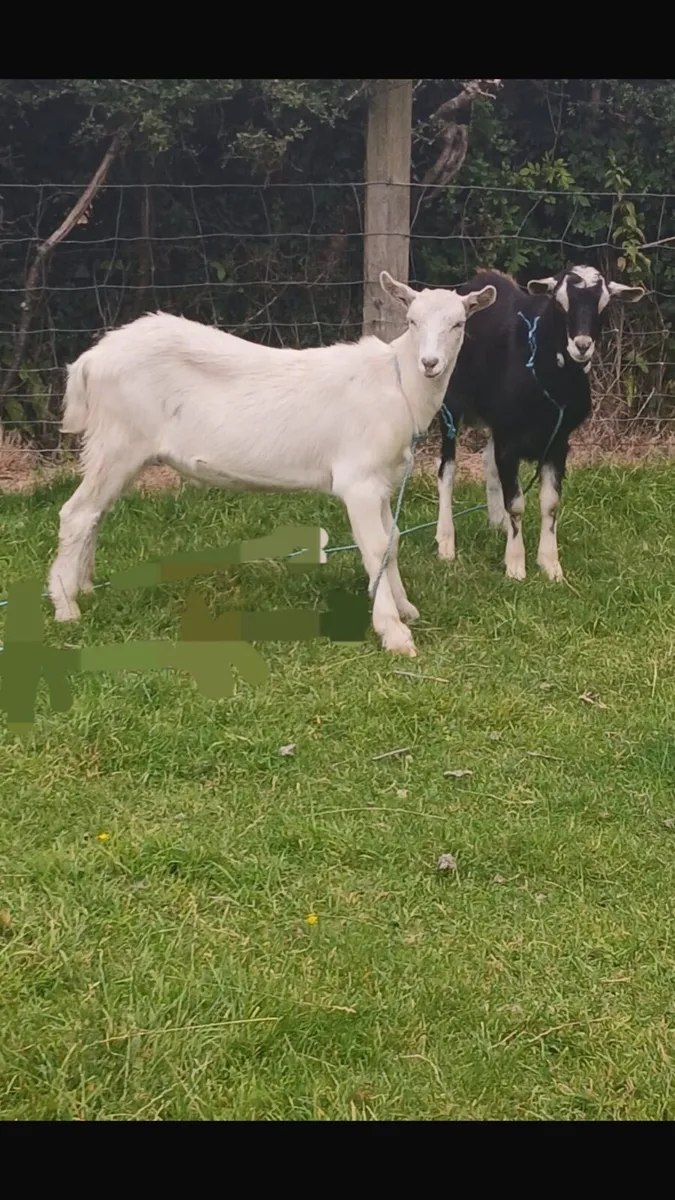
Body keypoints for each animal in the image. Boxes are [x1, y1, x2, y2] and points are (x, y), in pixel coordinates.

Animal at [48, 272, 496, 656]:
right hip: (117, 441)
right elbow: (374, 548)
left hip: (118, 450)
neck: (398, 383)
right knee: (76, 513)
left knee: (95, 513)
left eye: (458, 324)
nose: (430, 363)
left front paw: (405, 609)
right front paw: (394, 633)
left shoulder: (383, 479)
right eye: (412, 320)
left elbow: (394, 541)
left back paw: (84, 587)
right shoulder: (359, 480)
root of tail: (89, 361)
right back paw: (66, 607)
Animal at [435, 266, 645, 581]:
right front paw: (515, 565)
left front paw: (551, 565)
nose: (582, 345)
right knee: (446, 469)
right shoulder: (509, 443)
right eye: (559, 303)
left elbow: (550, 504)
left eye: (605, 305)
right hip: (450, 403)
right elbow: (517, 504)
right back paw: (446, 542)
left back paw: (497, 523)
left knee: (487, 461)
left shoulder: (557, 443)